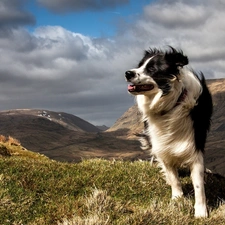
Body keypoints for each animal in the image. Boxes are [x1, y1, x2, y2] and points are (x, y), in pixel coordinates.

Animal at [125, 47, 213, 218]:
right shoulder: (162, 145)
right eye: (139, 66)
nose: (128, 73)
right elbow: (173, 177)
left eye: (152, 69)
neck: (172, 103)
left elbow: (198, 184)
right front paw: (177, 198)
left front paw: (200, 211)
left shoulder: (194, 145)